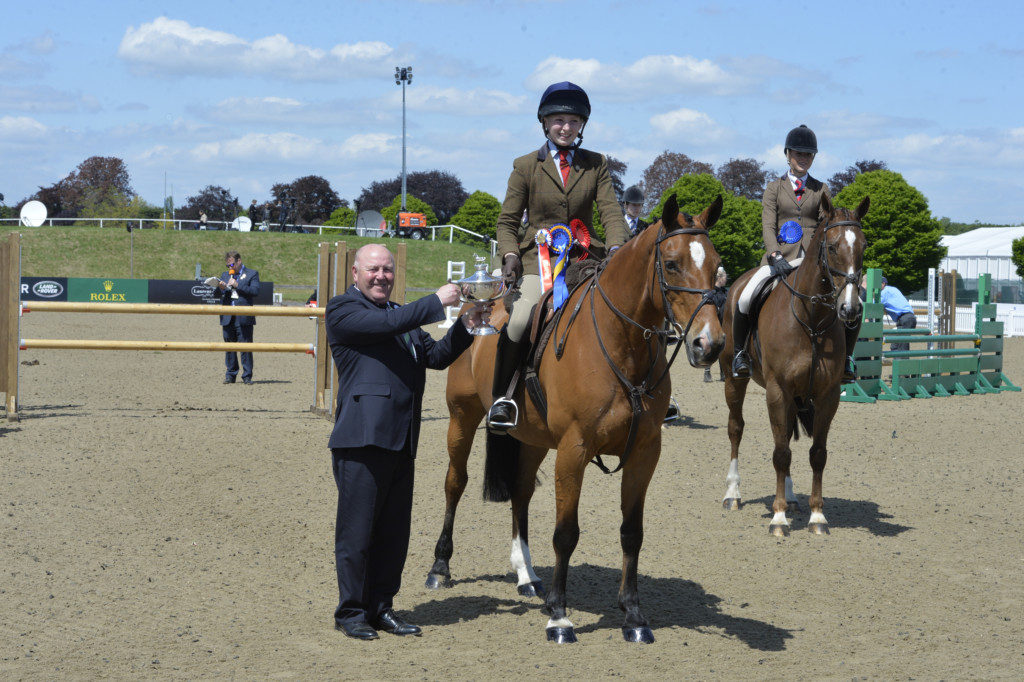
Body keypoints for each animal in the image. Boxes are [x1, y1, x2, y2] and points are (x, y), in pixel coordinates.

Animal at [423, 193, 729, 638]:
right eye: (671, 264)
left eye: (717, 265)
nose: (710, 344)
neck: (623, 344)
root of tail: (482, 307)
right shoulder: (574, 449)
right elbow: (566, 533)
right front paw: (560, 616)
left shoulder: (645, 453)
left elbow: (632, 532)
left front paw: (633, 615)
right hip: (461, 417)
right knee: (455, 483)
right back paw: (440, 567)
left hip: (530, 438)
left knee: (521, 492)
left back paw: (527, 576)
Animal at [716, 193, 868, 532]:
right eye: (832, 247)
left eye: (864, 246)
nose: (850, 309)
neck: (811, 320)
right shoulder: (777, 390)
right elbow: (780, 454)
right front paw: (778, 518)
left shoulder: (826, 395)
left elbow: (817, 453)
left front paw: (817, 515)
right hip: (735, 380)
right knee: (736, 429)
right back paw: (733, 493)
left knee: (785, 434)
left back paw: (790, 496)